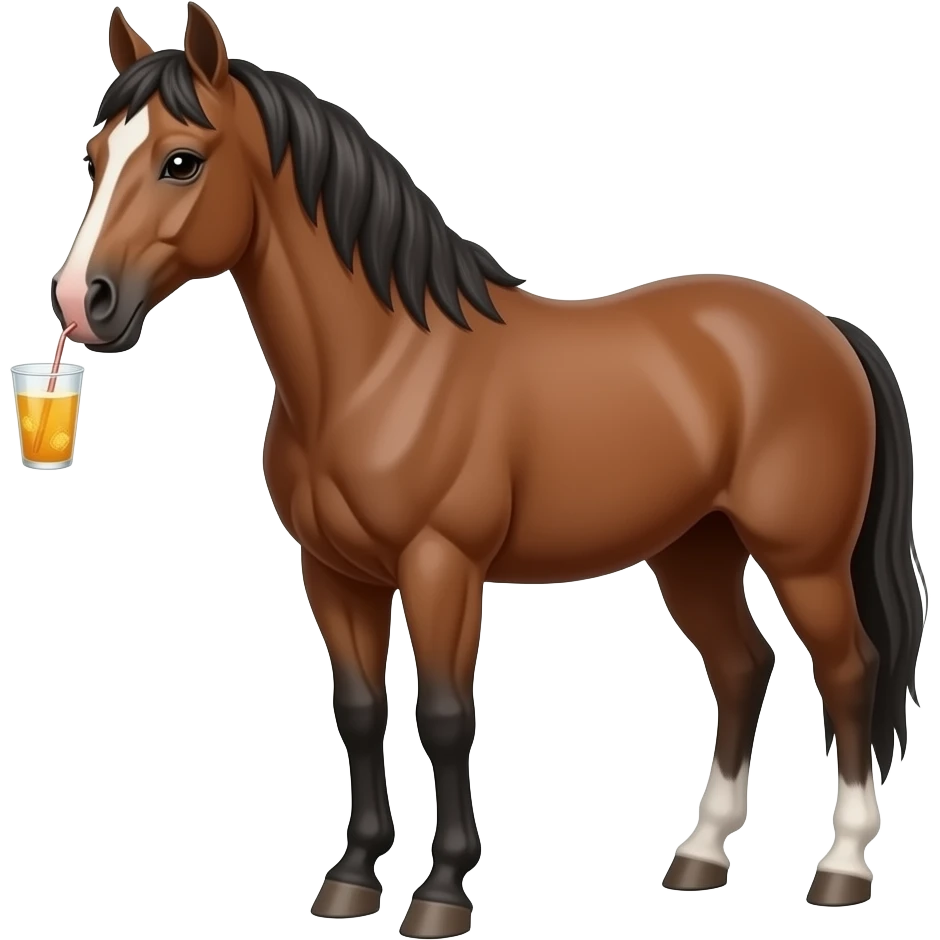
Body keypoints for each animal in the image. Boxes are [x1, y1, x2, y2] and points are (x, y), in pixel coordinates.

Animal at [52, 4, 927, 932]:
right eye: (96, 156)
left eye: (181, 160)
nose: (82, 302)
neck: (380, 367)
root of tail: (826, 328)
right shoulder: (334, 574)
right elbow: (358, 712)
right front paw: (353, 877)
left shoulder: (442, 566)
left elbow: (443, 715)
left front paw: (441, 892)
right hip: (696, 550)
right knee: (741, 668)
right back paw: (700, 854)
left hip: (805, 560)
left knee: (849, 672)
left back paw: (842, 868)